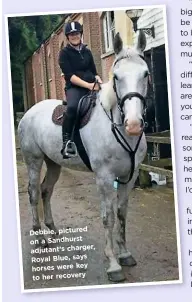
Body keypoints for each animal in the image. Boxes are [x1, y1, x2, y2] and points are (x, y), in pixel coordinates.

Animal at [18, 31, 149, 282]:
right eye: (116, 77)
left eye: (145, 74)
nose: (134, 125)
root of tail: (29, 112)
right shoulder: (104, 178)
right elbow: (108, 217)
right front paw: (113, 265)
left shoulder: (129, 176)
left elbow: (121, 213)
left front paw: (124, 254)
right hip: (34, 160)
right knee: (33, 193)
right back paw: (40, 237)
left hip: (54, 163)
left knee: (45, 190)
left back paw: (53, 229)